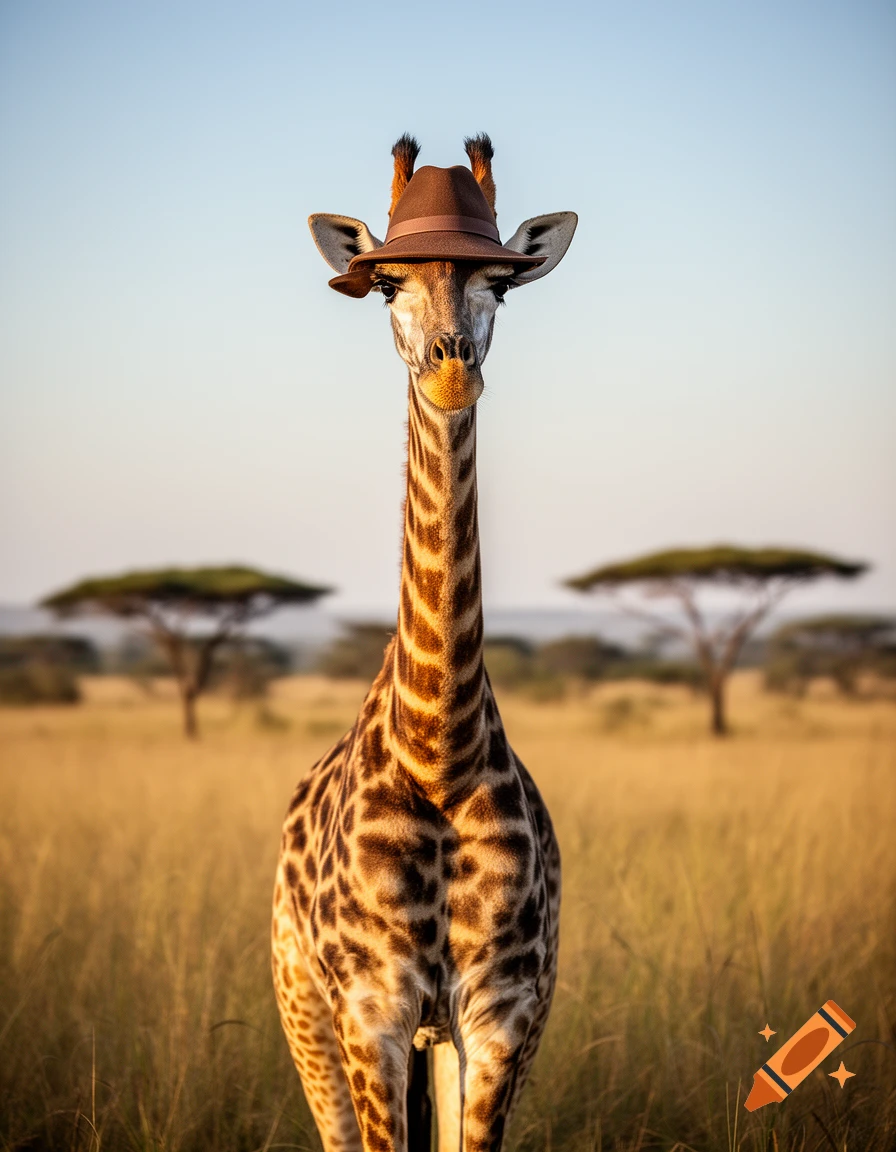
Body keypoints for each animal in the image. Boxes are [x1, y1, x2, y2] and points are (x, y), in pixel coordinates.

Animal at [272, 134, 577, 1152]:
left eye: (500, 287)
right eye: (389, 286)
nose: (451, 368)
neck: (440, 753)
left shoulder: (504, 1012)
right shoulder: (372, 1008)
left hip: (438, 1038)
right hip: (303, 1005)